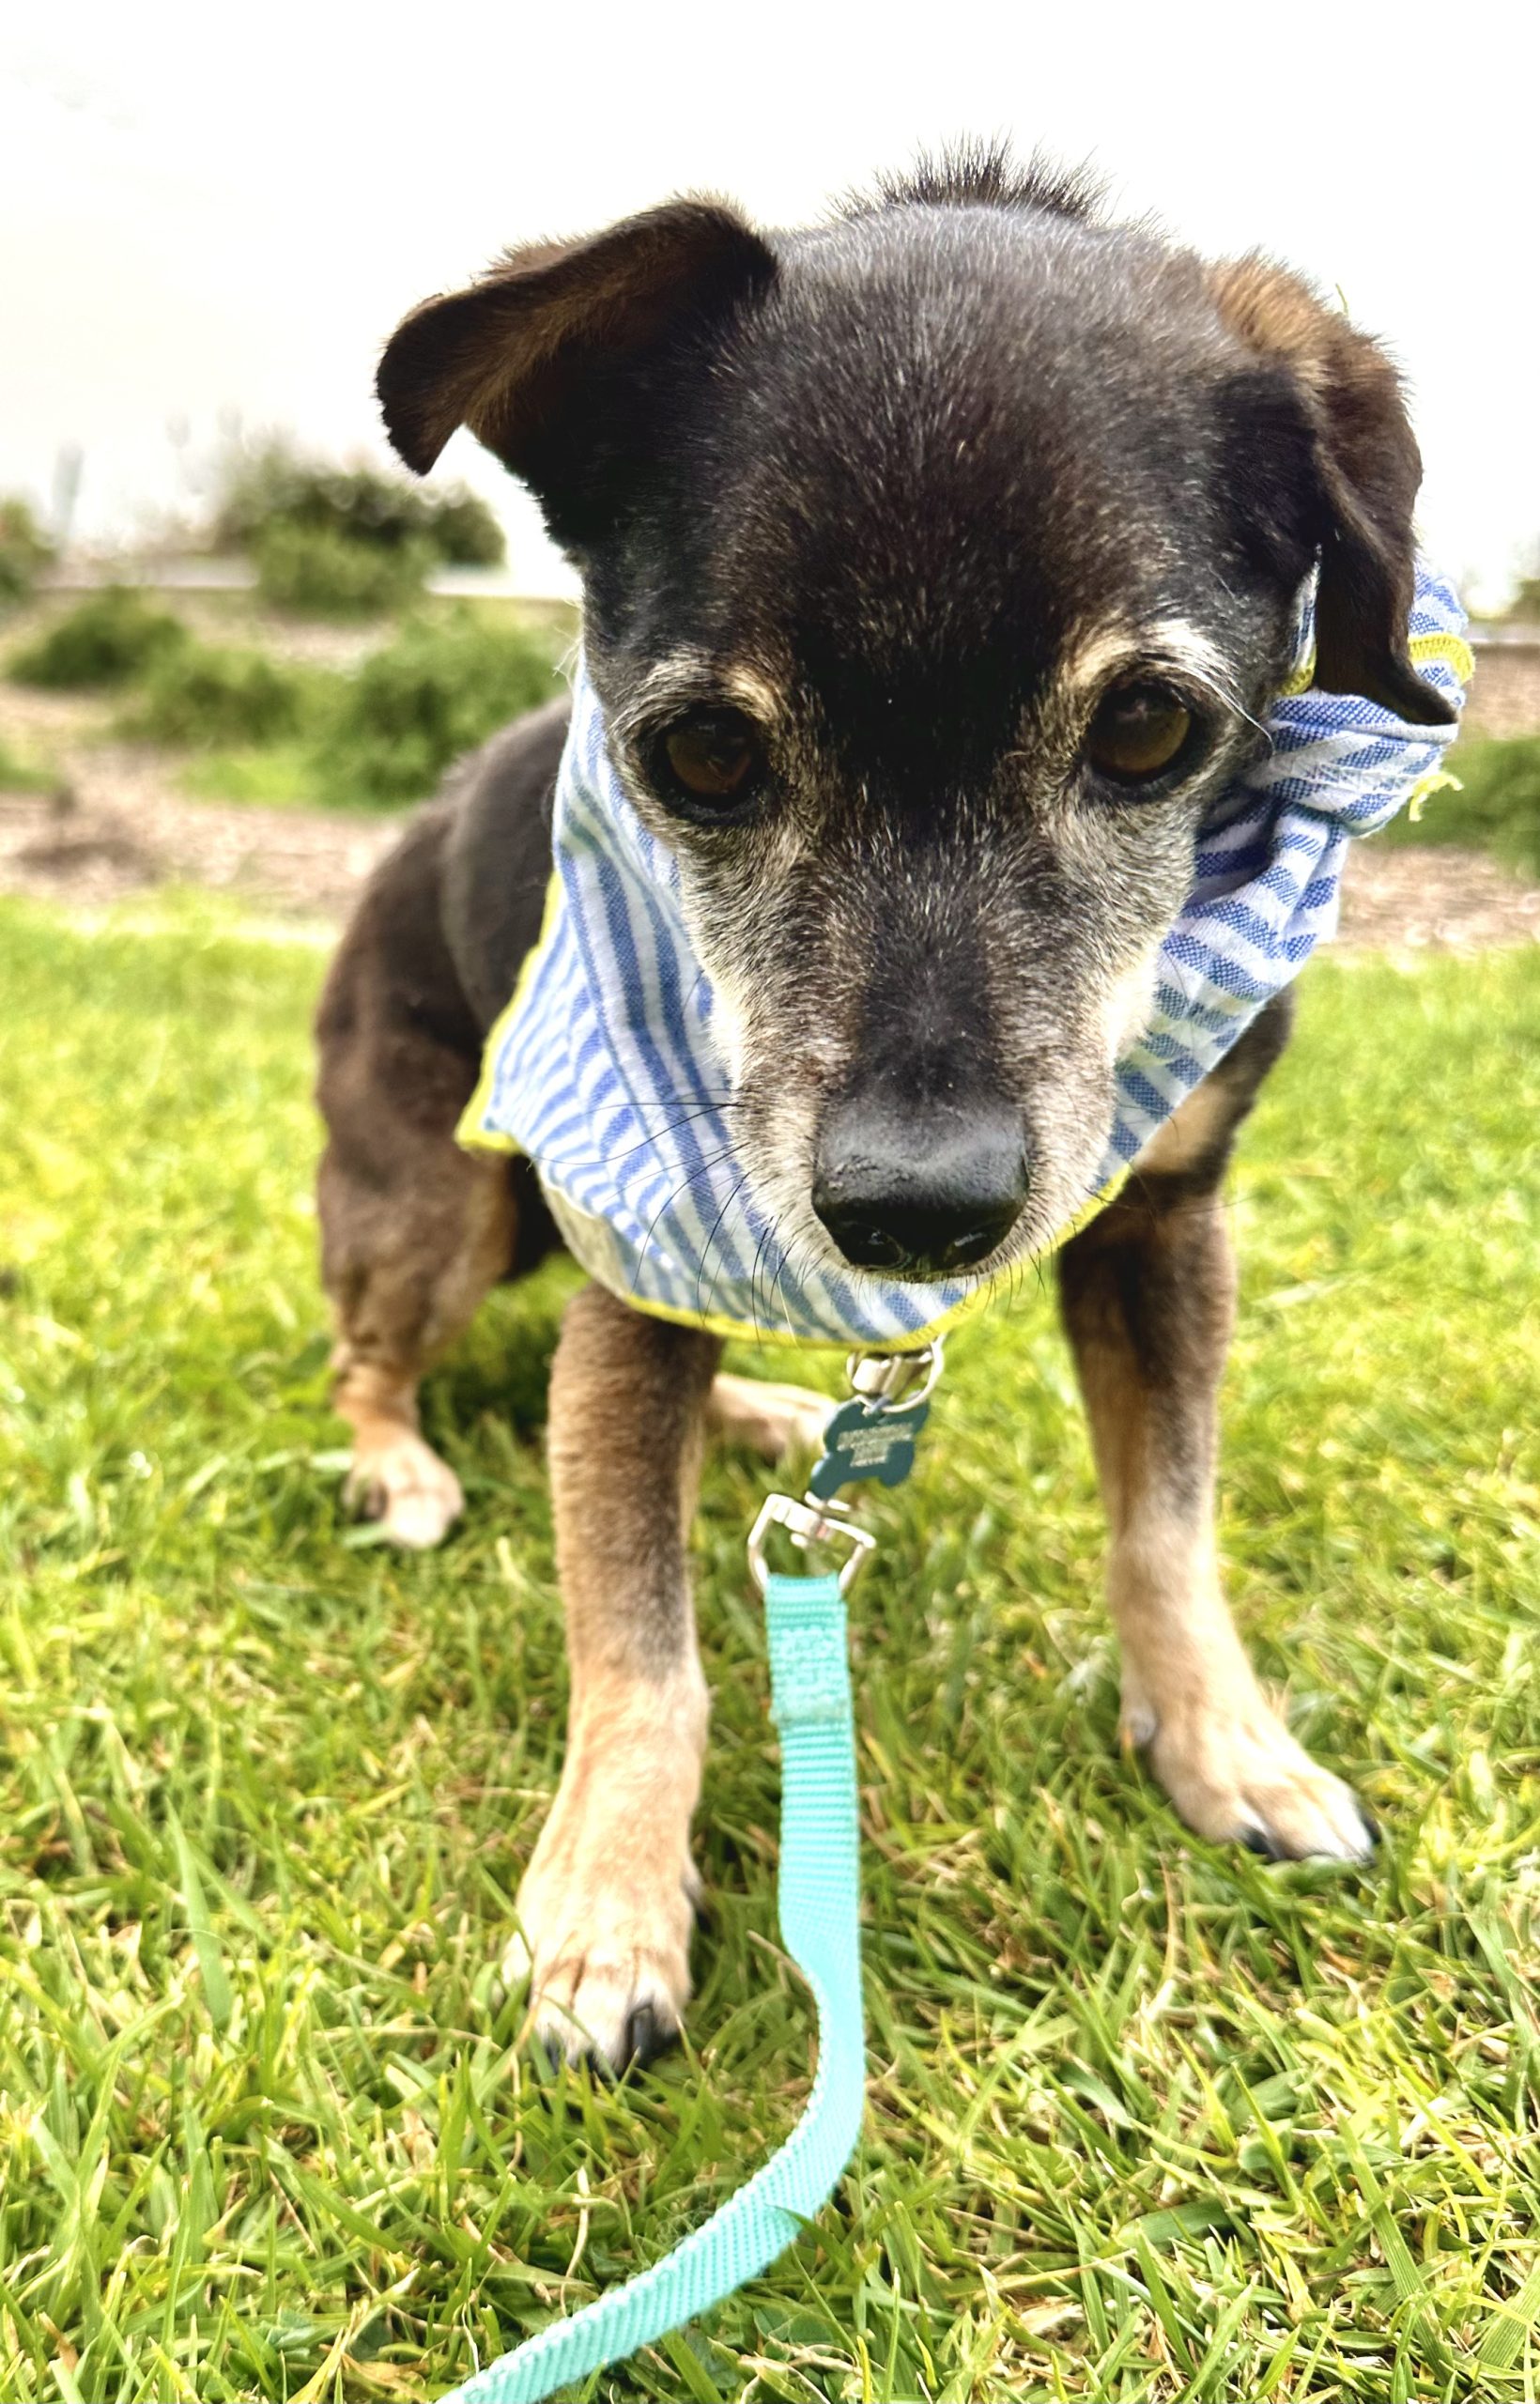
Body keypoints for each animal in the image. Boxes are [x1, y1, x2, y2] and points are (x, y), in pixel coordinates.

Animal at [315, 150, 1451, 2067]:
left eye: (1151, 729)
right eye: (698, 755)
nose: (917, 1210)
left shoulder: (1167, 1223)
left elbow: (1168, 1525)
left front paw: (1226, 1745)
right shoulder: (640, 1249)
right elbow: (641, 1639)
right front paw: (606, 1906)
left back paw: (764, 1417)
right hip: (442, 1212)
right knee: (367, 1361)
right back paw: (402, 1464)